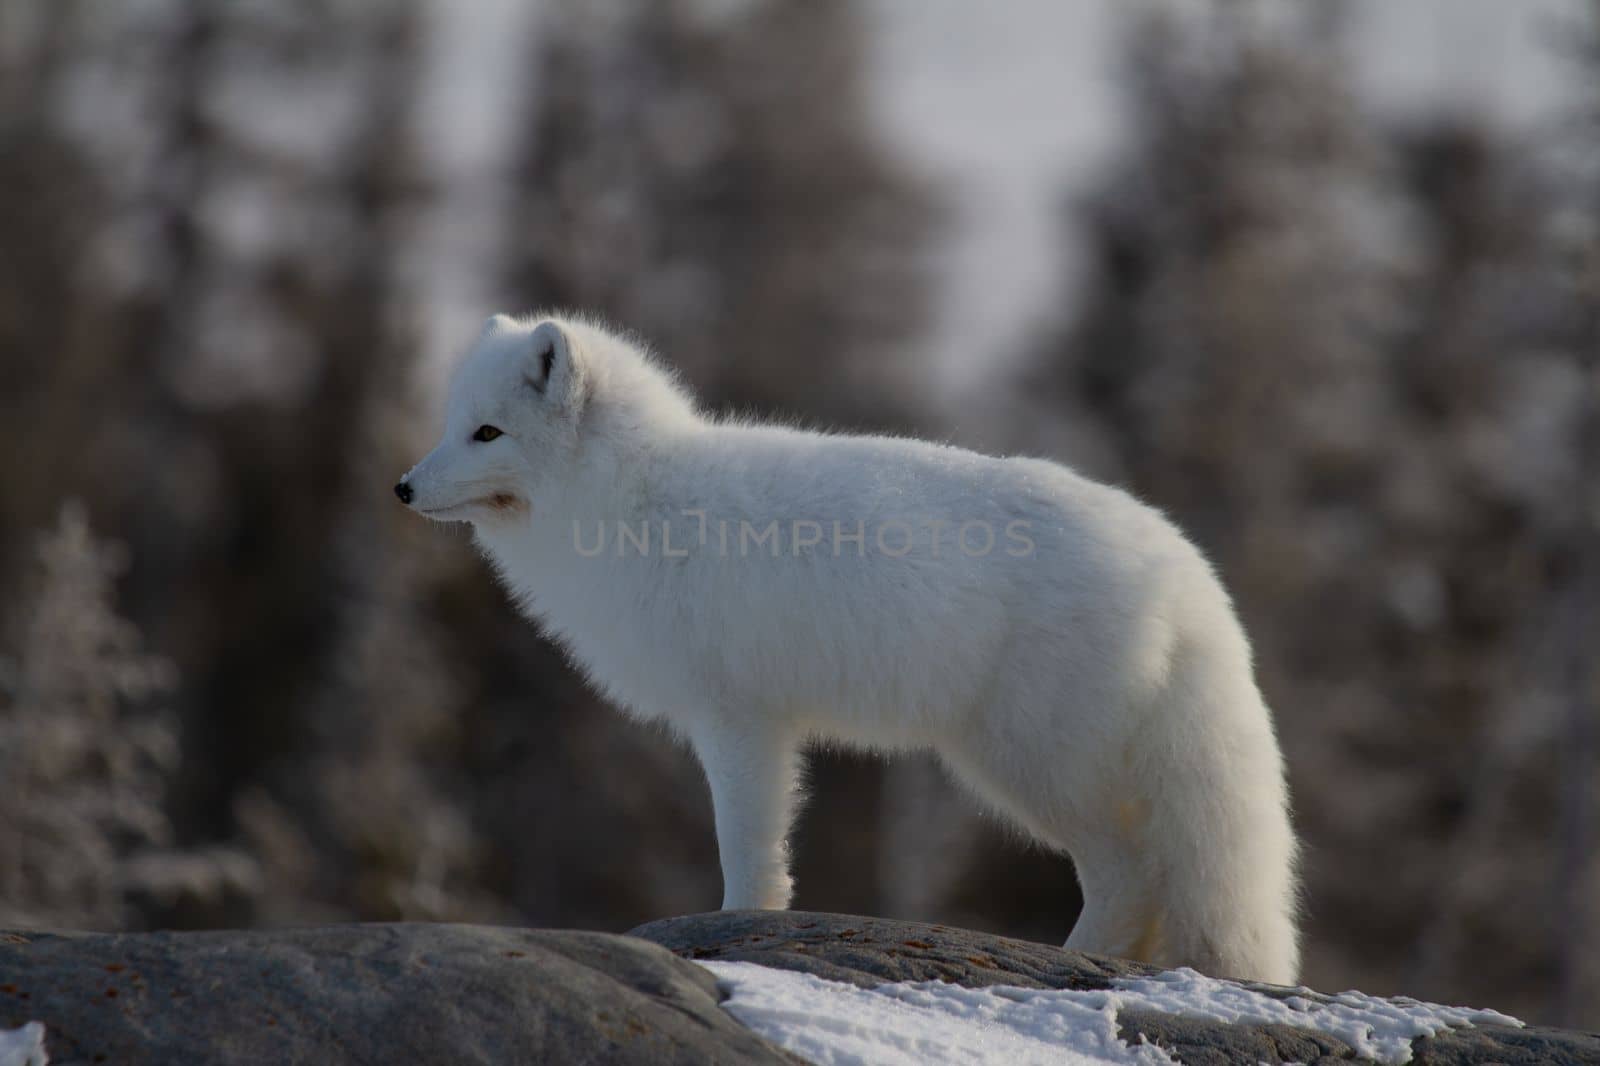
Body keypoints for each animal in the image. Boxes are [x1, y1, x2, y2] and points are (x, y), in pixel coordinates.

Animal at [396, 313, 1299, 979]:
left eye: (487, 434)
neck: (632, 500)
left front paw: (735, 927)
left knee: (1129, 875)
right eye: (451, 427)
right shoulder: (763, 724)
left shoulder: (737, 718)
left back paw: (1070, 962)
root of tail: (1182, 567)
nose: (402, 487)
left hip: (1030, 763)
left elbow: (746, 846)